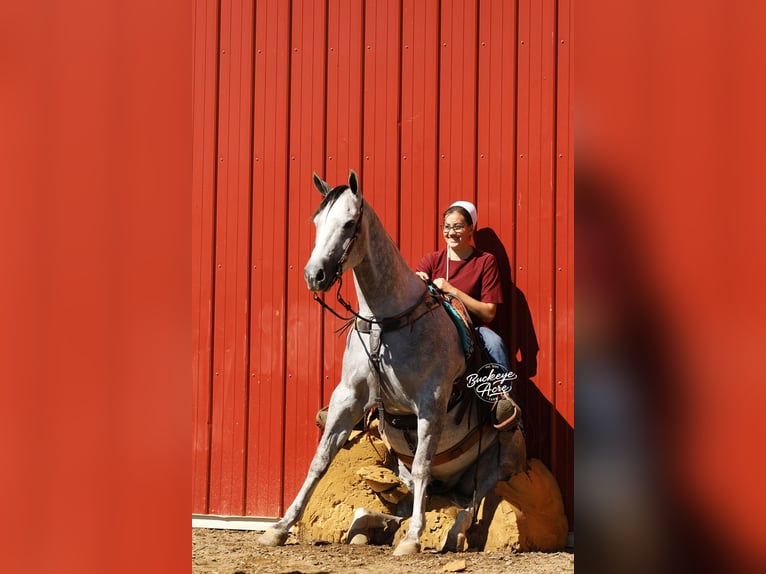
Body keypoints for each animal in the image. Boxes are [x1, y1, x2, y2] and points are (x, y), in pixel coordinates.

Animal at [257, 169, 527, 555]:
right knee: (409, 504)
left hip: (501, 461)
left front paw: (414, 539)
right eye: (317, 221)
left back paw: (451, 533)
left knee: (470, 504)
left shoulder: (431, 402)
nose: (314, 275)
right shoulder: (347, 398)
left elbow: (424, 465)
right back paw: (368, 525)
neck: (385, 325)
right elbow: (319, 460)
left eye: (349, 223)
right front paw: (280, 527)